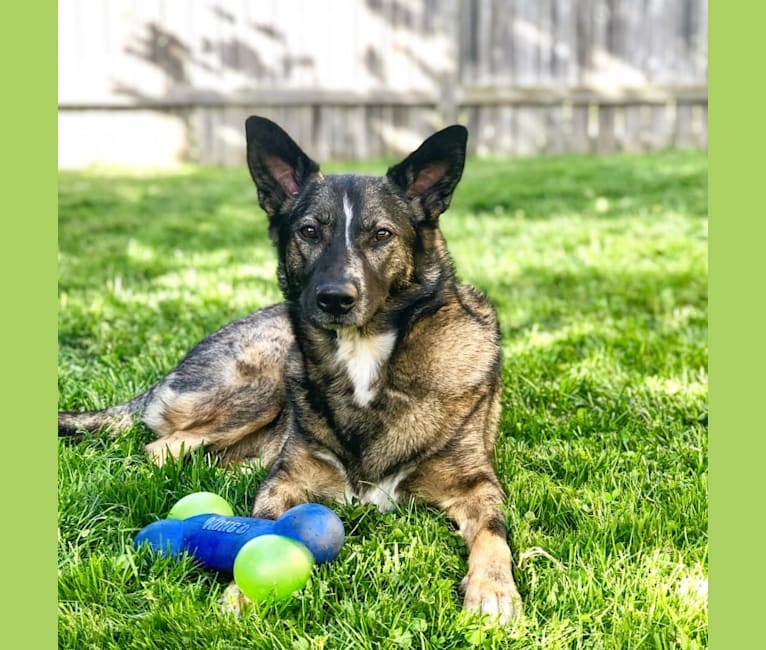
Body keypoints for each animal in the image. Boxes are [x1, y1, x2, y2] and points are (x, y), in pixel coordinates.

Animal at [60, 116, 524, 624]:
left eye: (382, 235)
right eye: (309, 231)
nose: (335, 298)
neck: (366, 356)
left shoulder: (476, 484)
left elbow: (493, 535)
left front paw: (493, 590)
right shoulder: (290, 479)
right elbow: (261, 526)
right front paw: (244, 590)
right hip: (265, 381)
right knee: (163, 448)